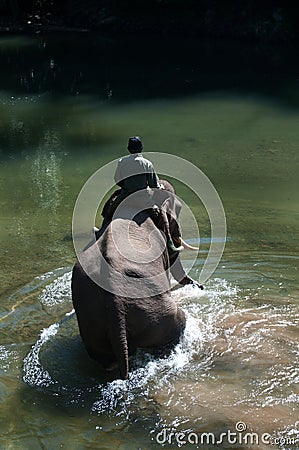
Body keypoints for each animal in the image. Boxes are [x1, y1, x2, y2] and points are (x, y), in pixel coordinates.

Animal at [71, 179, 200, 380]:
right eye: (178, 208)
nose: (200, 286)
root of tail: (114, 307)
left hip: (91, 326)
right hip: (160, 316)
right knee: (178, 323)